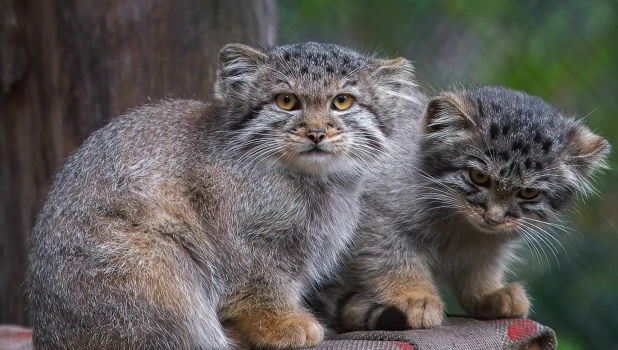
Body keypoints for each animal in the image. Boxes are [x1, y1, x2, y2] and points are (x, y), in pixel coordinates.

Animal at [26, 42, 416, 348]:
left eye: (343, 101)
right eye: (287, 101)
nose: (317, 133)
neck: (310, 183)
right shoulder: (238, 240)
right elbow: (258, 283)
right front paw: (280, 324)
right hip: (155, 260)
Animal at [324, 86, 608, 332]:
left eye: (528, 193)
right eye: (478, 177)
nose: (493, 217)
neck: (460, 226)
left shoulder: (488, 246)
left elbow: (478, 269)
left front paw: (488, 292)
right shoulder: (376, 220)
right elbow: (393, 261)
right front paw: (414, 296)